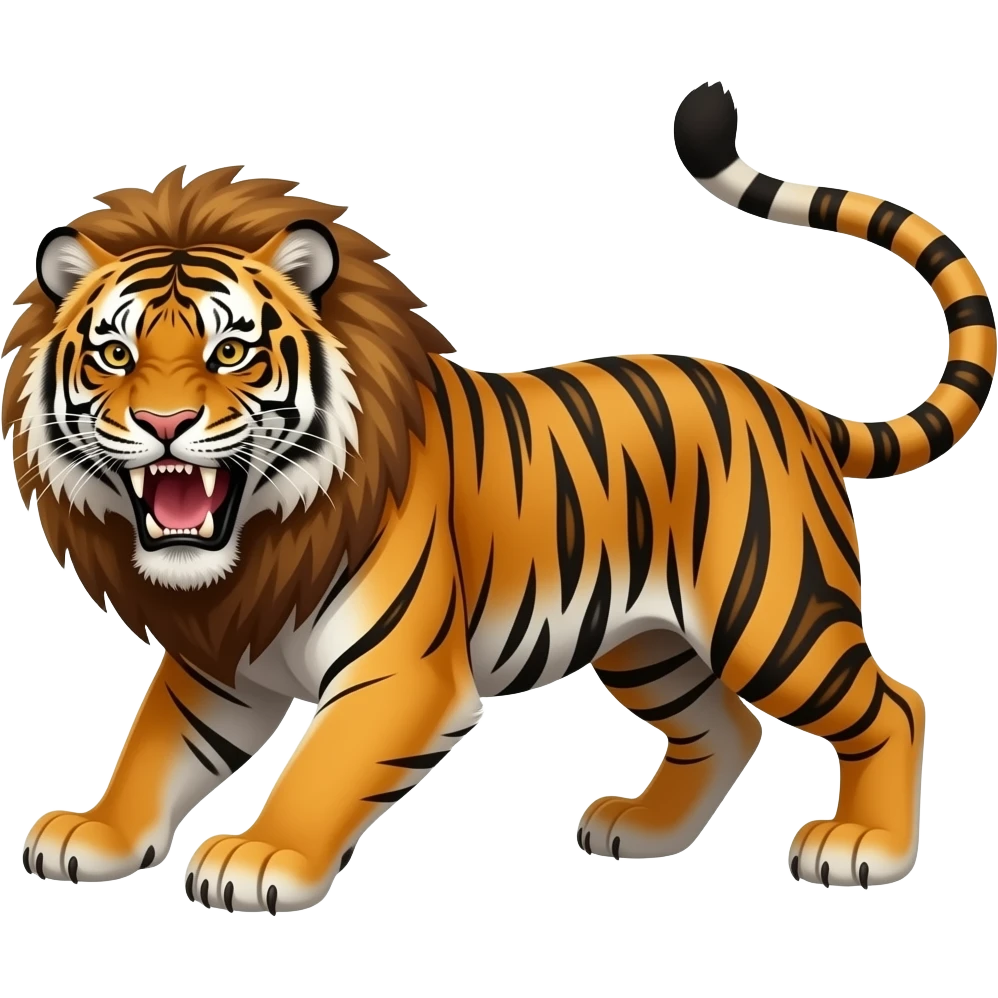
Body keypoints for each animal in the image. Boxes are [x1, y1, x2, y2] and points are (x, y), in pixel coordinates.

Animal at [8, 83, 993, 913]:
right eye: (114, 354)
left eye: (231, 353)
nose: (165, 422)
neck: (260, 543)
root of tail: (796, 407)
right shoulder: (222, 663)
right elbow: (153, 750)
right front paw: (94, 834)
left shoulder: (399, 673)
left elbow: (319, 768)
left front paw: (259, 856)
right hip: (650, 643)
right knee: (727, 727)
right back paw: (645, 830)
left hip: (771, 619)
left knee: (894, 704)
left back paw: (864, 847)